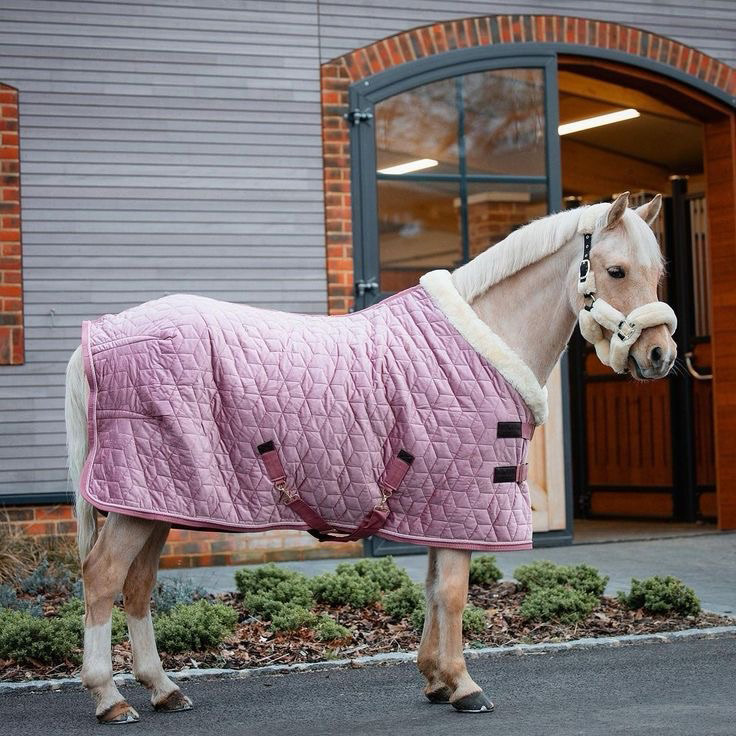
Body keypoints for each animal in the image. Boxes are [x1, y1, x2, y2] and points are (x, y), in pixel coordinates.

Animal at [65, 191, 676, 723]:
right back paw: (108, 698)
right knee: (101, 577)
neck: (480, 343)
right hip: (136, 501)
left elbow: (432, 589)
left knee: (137, 586)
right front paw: (465, 686)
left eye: (657, 273)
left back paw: (163, 690)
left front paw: (435, 679)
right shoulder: (462, 500)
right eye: (615, 271)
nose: (660, 355)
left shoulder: (441, 507)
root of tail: (100, 336)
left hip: (155, 502)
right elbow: (454, 594)